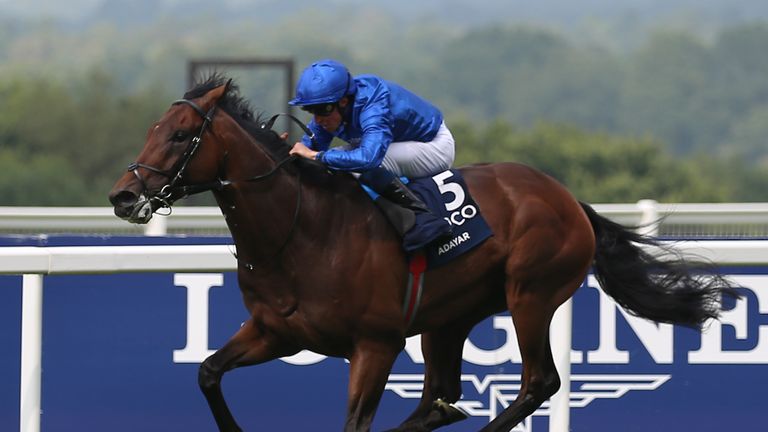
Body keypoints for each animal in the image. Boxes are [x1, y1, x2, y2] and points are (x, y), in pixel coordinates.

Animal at [108, 77, 736, 432]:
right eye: (152, 128)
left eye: (181, 135)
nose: (123, 195)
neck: (300, 230)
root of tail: (568, 199)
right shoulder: (276, 332)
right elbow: (209, 373)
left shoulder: (375, 343)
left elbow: (355, 422)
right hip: (448, 319)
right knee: (443, 398)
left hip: (531, 294)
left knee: (539, 383)